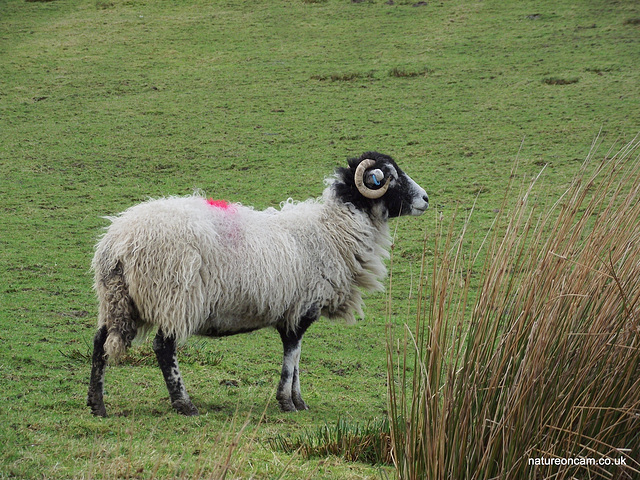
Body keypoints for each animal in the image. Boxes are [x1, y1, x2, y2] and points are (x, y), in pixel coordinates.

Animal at [84, 152, 424, 414]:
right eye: (390, 176)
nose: (426, 199)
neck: (333, 230)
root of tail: (118, 241)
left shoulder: (294, 310)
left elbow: (297, 358)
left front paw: (299, 401)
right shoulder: (299, 309)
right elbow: (291, 357)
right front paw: (287, 402)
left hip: (117, 299)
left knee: (100, 341)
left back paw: (97, 405)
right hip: (174, 295)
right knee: (164, 347)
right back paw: (184, 404)